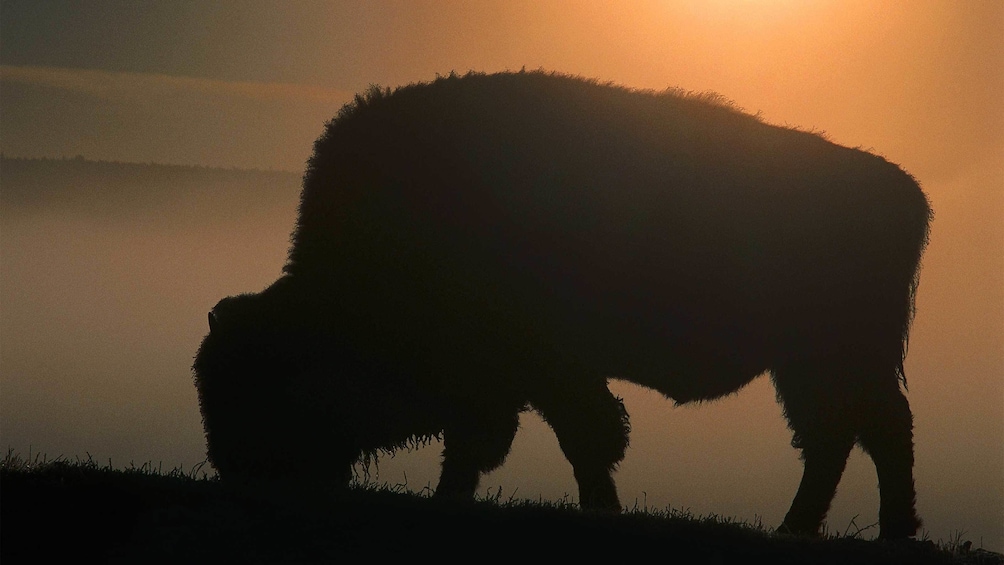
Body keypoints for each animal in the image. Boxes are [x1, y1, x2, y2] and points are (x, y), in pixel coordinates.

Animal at [191, 69, 927, 537]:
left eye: (259, 386)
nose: (239, 473)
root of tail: (902, 188)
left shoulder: (545, 370)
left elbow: (582, 436)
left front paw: (597, 509)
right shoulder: (511, 380)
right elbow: (498, 442)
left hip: (834, 358)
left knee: (871, 430)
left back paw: (879, 531)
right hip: (806, 366)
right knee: (842, 435)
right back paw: (809, 529)